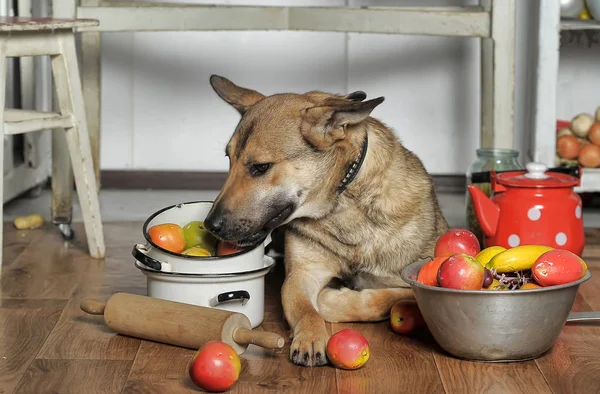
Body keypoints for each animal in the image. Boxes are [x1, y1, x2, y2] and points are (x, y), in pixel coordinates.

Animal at [204, 75, 448, 368]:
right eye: (229, 159)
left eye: (261, 168)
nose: (210, 225)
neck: (342, 202)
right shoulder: (301, 276)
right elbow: (306, 309)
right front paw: (311, 335)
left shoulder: (412, 279)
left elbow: (386, 299)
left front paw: (334, 298)